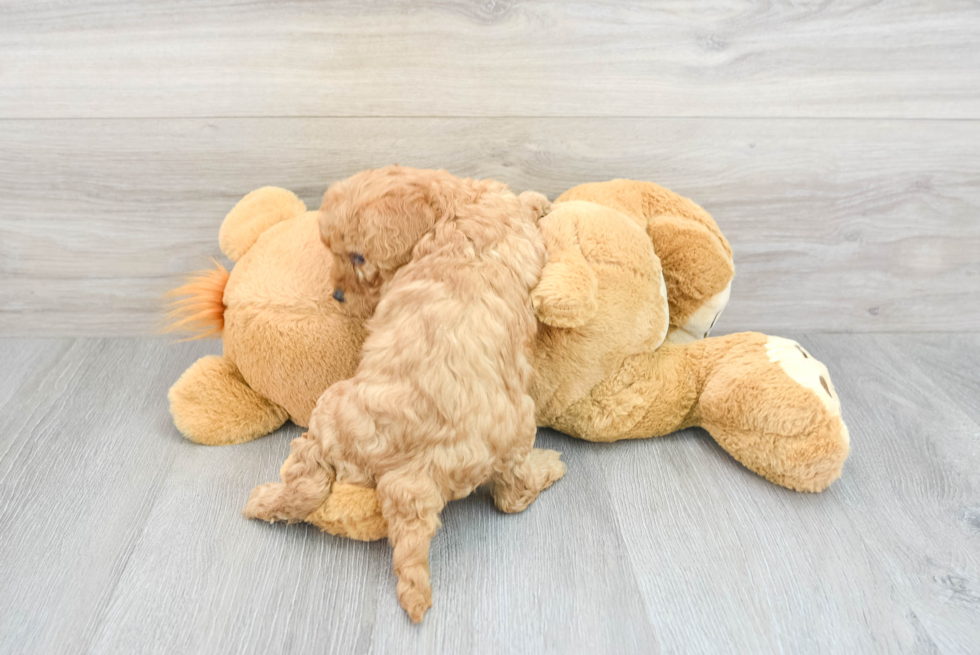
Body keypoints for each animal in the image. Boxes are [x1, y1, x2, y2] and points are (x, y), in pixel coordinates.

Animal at [243, 167, 568, 624]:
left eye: (358, 257)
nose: (337, 296)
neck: (449, 207)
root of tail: (413, 471)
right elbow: (523, 206)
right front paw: (539, 200)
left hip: (335, 416)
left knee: (306, 479)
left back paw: (264, 502)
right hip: (513, 426)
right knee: (513, 494)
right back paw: (550, 466)